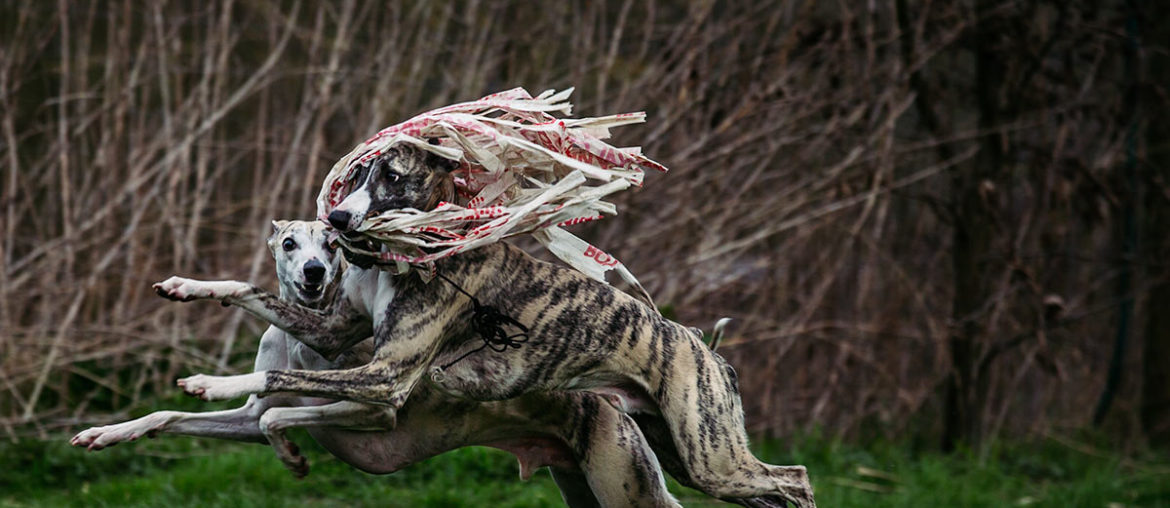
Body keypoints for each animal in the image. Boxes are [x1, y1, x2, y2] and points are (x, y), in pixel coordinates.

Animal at [70, 221, 683, 508]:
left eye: (332, 246)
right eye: (290, 244)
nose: (315, 273)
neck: (309, 340)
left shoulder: (376, 413)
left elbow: (276, 418)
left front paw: (291, 456)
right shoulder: (246, 418)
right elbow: (180, 416)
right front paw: (106, 433)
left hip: (626, 487)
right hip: (580, 485)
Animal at [155, 143, 814, 508]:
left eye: (391, 177)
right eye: (359, 175)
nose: (338, 221)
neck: (415, 254)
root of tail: (704, 347)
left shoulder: (385, 379)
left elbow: (276, 392)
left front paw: (210, 383)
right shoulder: (334, 333)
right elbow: (251, 298)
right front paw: (186, 286)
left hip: (707, 459)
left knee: (797, 478)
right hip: (676, 456)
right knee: (771, 489)